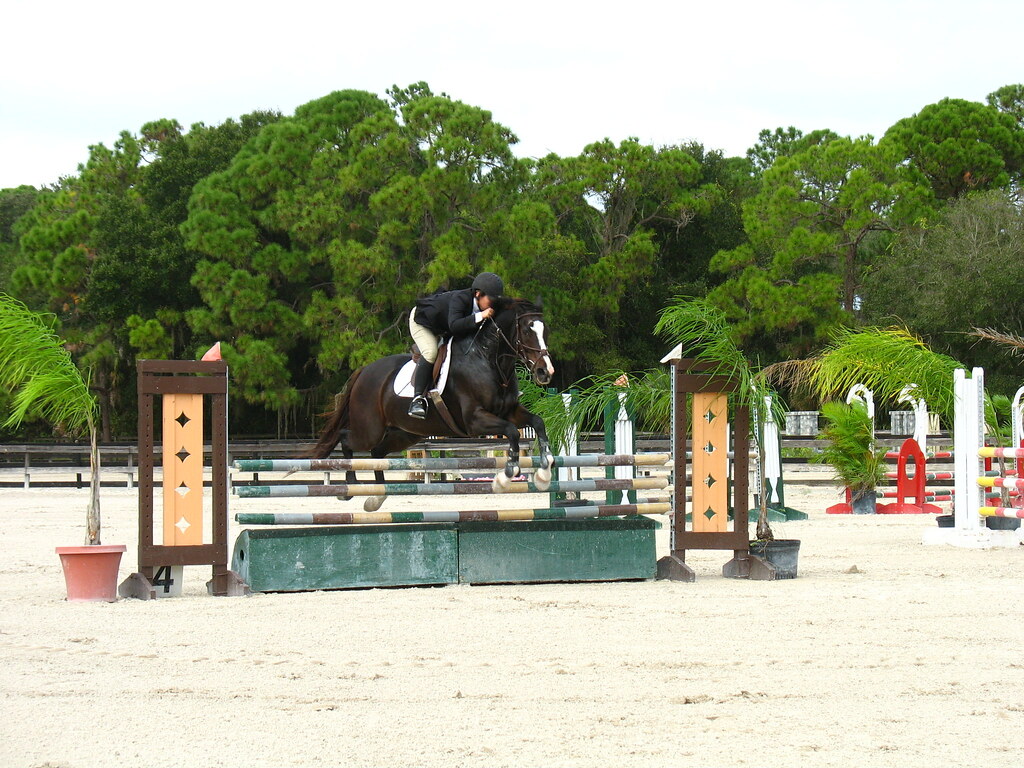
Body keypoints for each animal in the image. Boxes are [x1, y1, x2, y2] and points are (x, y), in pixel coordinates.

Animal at [309, 297, 556, 510]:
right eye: (527, 330)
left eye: (545, 330)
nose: (545, 372)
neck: (488, 360)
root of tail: (363, 371)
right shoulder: (474, 420)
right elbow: (512, 432)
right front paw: (505, 477)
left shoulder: (509, 411)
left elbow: (538, 422)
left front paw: (545, 471)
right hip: (370, 429)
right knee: (346, 438)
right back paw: (349, 486)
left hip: (405, 433)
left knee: (377, 452)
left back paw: (377, 497)